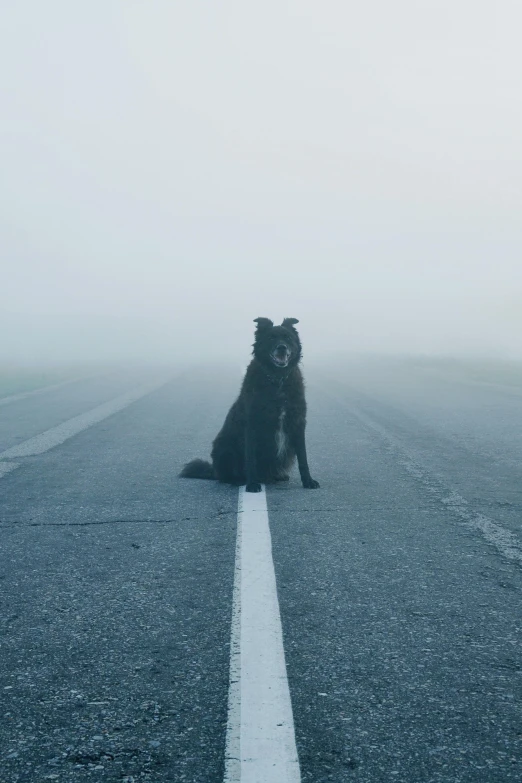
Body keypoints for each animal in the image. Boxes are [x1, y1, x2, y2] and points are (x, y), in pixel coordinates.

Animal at [179, 316, 316, 490]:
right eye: (271, 338)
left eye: (288, 338)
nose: (282, 348)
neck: (277, 379)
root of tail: (214, 470)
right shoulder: (252, 424)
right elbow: (251, 459)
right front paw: (252, 484)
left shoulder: (297, 422)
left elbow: (303, 457)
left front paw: (308, 481)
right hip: (224, 447)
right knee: (224, 476)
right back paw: (238, 480)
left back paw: (278, 476)